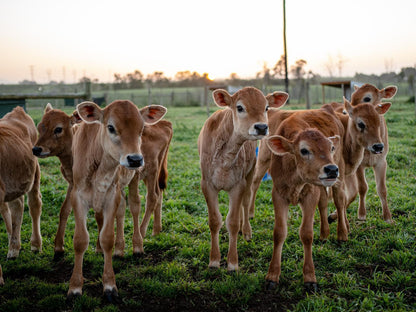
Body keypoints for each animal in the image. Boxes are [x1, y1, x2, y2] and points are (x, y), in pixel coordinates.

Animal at [67, 100, 167, 300]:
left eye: (141, 128)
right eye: (111, 127)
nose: (135, 159)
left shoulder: (111, 196)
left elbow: (107, 238)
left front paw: (109, 286)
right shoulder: (78, 197)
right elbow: (80, 240)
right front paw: (75, 287)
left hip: (141, 175)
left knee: (138, 204)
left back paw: (137, 245)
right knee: (124, 210)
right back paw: (121, 249)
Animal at [198, 86, 290, 270]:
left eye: (266, 107)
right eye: (239, 107)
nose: (261, 127)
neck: (225, 156)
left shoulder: (238, 184)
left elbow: (232, 222)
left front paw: (232, 262)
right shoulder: (207, 184)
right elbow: (214, 221)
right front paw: (214, 259)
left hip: (250, 172)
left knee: (246, 202)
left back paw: (246, 230)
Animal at [264, 108, 344, 292]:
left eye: (331, 147)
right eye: (304, 150)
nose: (331, 169)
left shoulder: (310, 194)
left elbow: (306, 234)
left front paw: (309, 278)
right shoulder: (278, 194)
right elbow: (279, 232)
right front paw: (272, 276)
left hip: (340, 172)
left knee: (339, 200)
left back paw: (342, 234)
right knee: (323, 203)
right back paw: (324, 234)